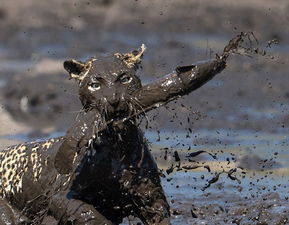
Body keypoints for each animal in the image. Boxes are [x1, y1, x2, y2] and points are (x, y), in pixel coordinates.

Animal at [0, 44, 226, 225]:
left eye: (124, 79)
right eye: (95, 84)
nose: (114, 99)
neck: (118, 148)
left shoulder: (151, 196)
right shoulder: (62, 196)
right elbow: (93, 217)